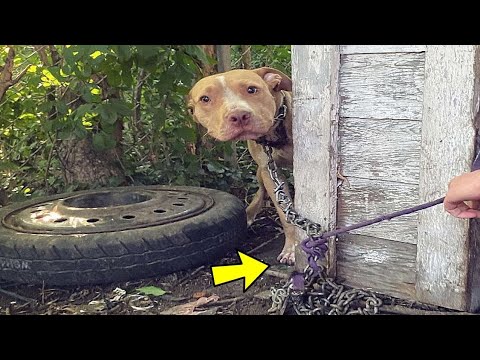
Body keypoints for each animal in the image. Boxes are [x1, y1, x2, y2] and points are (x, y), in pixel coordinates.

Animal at [188, 67, 296, 264]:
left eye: (252, 89)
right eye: (205, 99)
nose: (238, 115)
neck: (275, 135)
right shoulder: (270, 172)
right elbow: (285, 214)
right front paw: (292, 247)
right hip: (261, 172)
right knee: (261, 191)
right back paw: (249, 213)